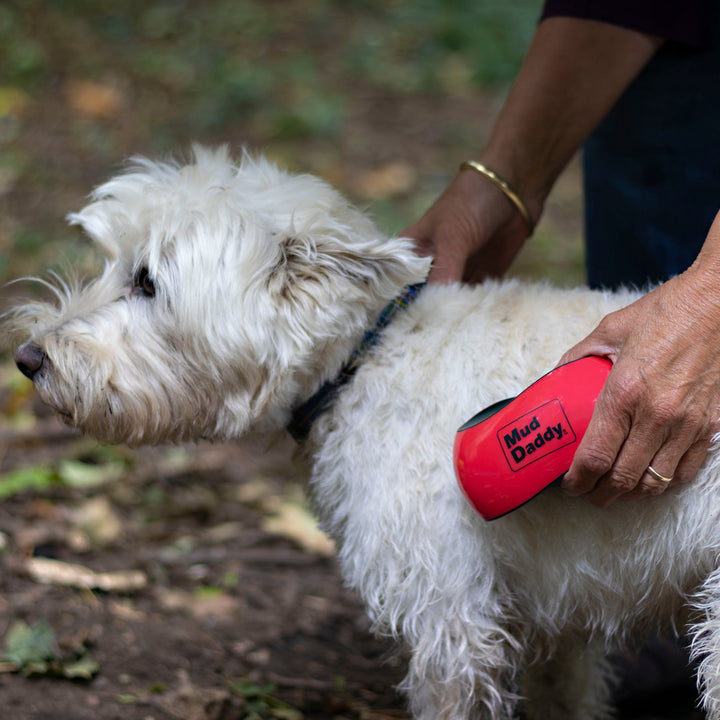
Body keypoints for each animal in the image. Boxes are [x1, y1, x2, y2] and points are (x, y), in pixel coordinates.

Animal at [9, 145, 720, 716]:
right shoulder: (557, 614)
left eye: (147, 281)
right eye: (112, 264)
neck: (365, 358)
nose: (28, 358)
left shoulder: (448, 616)